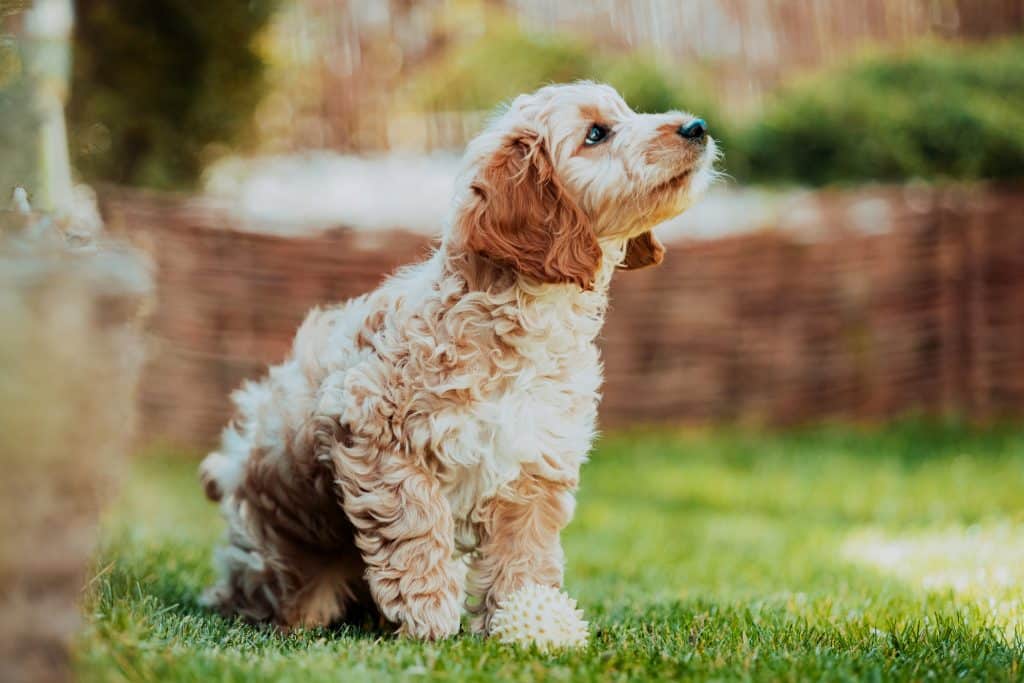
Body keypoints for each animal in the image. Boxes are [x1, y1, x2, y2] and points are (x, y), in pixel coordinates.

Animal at [197, 82, 712, 638]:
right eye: (597, 133)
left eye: (629, 112)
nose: (697, 126)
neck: (527, 318)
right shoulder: (377, 433)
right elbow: (415, 523)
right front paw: (429, 614)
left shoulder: (532, 467)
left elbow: (524, 552)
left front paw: (523, 614)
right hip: (283, 554)